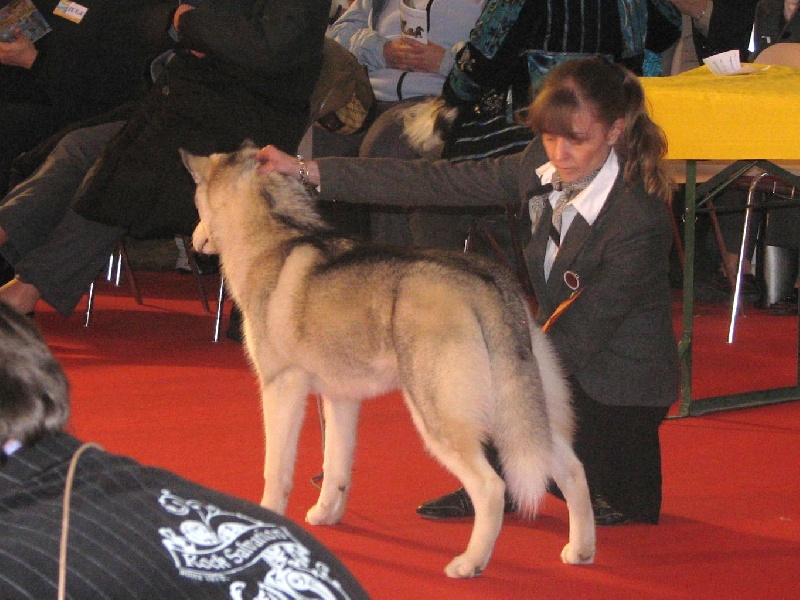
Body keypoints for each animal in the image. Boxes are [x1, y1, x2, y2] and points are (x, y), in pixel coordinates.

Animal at [181, 144, 596, 578]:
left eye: (196, 205)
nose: (193, 240)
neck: (273, 239)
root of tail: (486, 280)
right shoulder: (341, 399)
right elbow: (335, 466)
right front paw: (327, 513)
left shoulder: (281, 388)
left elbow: (276, 471)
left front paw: (270, 517)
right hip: (527, 415)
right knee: (572, 469)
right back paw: (581, 550)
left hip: (440, 418)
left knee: (491, 487)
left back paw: (470, 562)